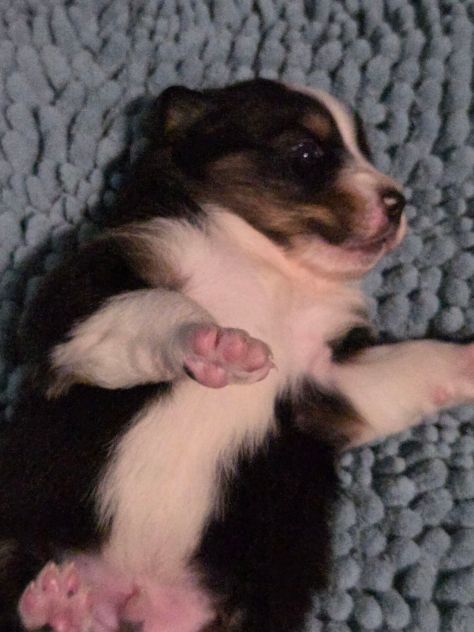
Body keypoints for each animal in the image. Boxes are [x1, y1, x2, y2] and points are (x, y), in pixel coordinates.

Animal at [1, 78, 473, 632]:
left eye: (365, 150)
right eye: (305, 154)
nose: (399, 202)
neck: (267, 263)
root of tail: (131, 599)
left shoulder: (331, 376)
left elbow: (419, 361)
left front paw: (469, 359)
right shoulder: (75, 304)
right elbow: (157, 306)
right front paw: (219, 343)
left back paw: (63, 610)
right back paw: (52, 606)